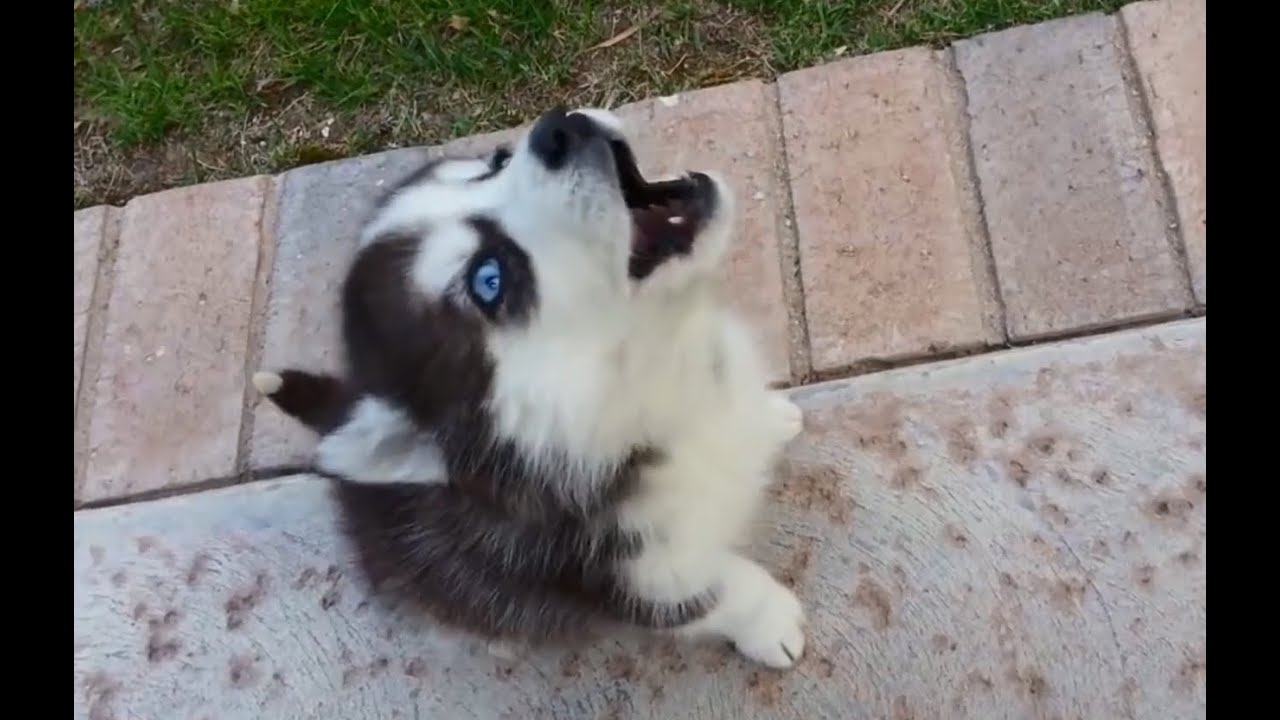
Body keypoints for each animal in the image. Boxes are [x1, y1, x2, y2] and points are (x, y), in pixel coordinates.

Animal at [253, 106, 803, 666]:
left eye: (494, 163)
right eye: (489, 279)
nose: (559, 128)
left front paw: (771, 417)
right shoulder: (634, 578)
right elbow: (722, 594)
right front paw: (773, 625)